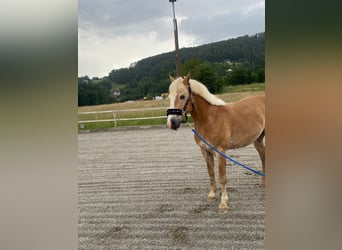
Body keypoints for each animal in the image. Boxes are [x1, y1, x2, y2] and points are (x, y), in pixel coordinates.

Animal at [167, 73, 266, 215]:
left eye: (182, 96)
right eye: (168, 97)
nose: (172, 123)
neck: (209, 119)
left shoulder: (220, 152)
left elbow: (222, 177)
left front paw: (223, 204)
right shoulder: (205, 151)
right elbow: (211, 173)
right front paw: (212, 195)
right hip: (257, 140)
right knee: (263, 157)